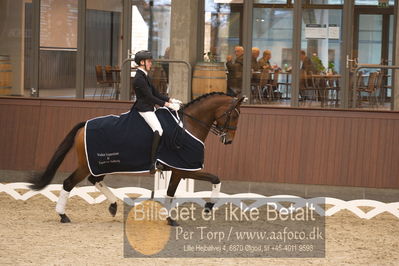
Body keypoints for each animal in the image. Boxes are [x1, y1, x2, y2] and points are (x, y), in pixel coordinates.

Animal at [28, 92, 244, 225]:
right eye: (233, 115)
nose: (229, 141)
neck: (188, 126)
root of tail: (84, 124)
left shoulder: (178, 171)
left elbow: (170, 193)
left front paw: (170, 219)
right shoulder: (184, 168)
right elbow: (215, 179)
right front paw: (209, 206)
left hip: (100, 165)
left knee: (94, 180)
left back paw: (113, 205)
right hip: (87, 165)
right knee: (69, 183)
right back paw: (63, 215)